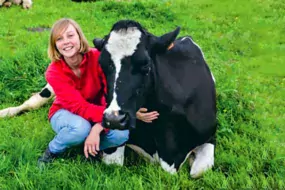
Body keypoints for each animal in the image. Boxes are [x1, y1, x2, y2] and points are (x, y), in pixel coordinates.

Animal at [93, 20, 215, 177]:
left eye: (145, 64)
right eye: (101, 64)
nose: (113, 119)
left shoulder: (210, 136)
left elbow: (197, 171)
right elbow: (114, 163)